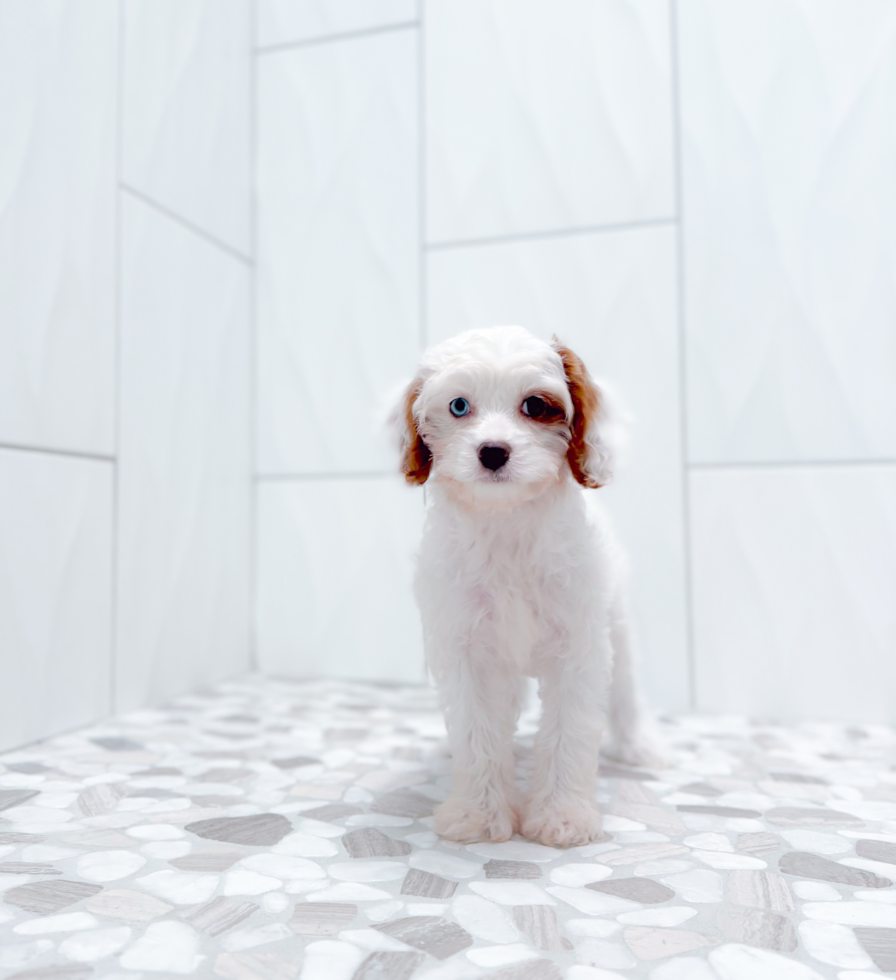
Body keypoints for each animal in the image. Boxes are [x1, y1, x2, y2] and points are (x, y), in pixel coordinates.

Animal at [396, 326, 660, 848]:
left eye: (535, 405)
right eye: (459, 406)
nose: (493, 451)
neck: (508, 522)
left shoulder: (579, 645)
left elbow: (569, 731)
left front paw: (563, 816)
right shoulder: (467, 646)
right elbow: (478, 731)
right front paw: (477, 815)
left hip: (616, 622)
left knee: (624, 690)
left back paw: (639, 745)